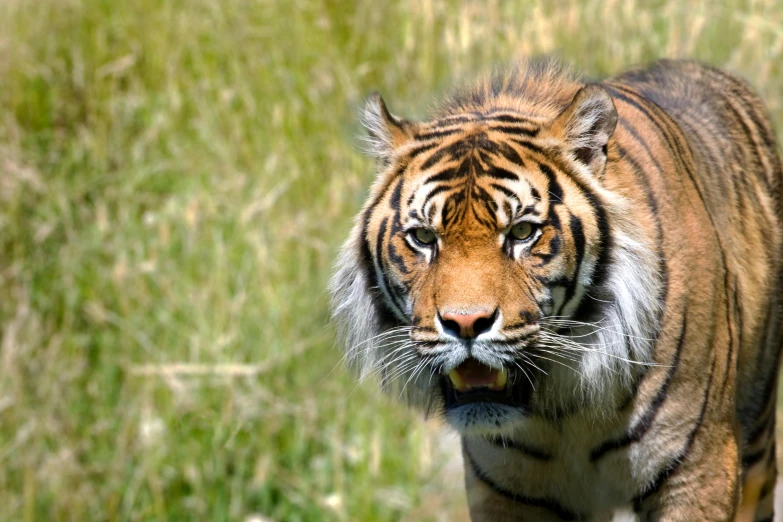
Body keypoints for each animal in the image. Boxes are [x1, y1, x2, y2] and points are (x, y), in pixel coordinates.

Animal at [328, 58, 780, 520]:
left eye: (522, 232)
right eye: (423, 237)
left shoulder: (697, 470)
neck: (564, 411)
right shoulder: (505, 492)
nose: (466, 323)